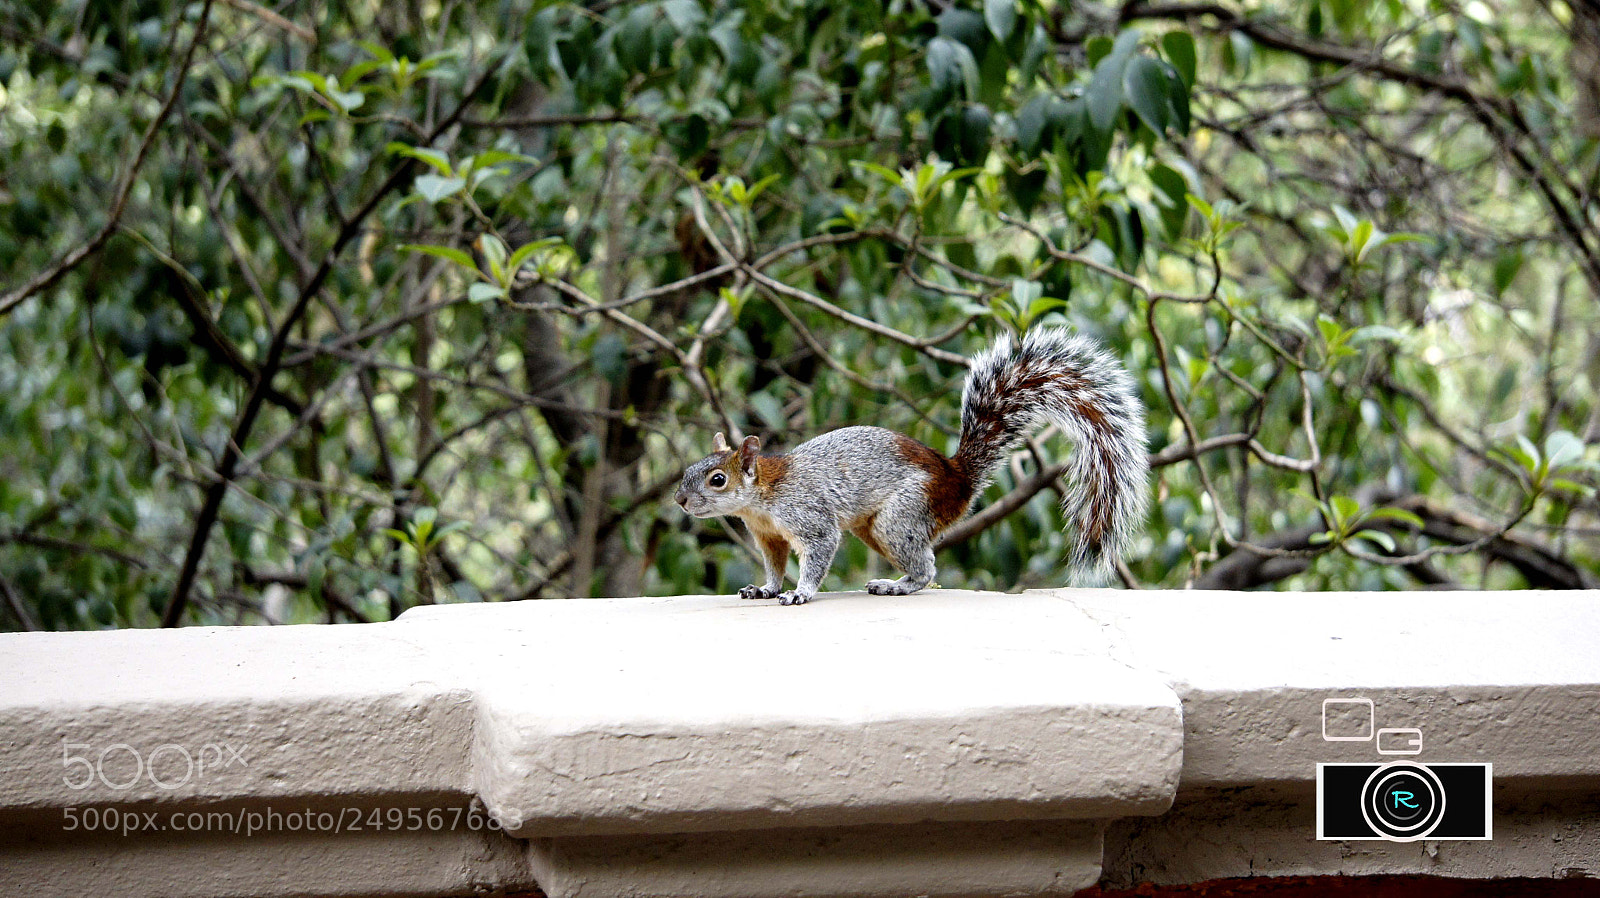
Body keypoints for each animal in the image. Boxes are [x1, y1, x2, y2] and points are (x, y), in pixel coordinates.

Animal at [673, 327, 1149, 605]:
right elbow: (774, 564)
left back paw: (897, 584)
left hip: (900, 516)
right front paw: (765, 588)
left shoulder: (808, 516)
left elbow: (819, 553)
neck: (762, 499)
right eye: (690, 470)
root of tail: (957, 479)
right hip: (874, 528)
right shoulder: (768, 536)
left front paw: (799, 593)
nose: (679, 500)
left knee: (927, 567)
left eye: (717, 480)